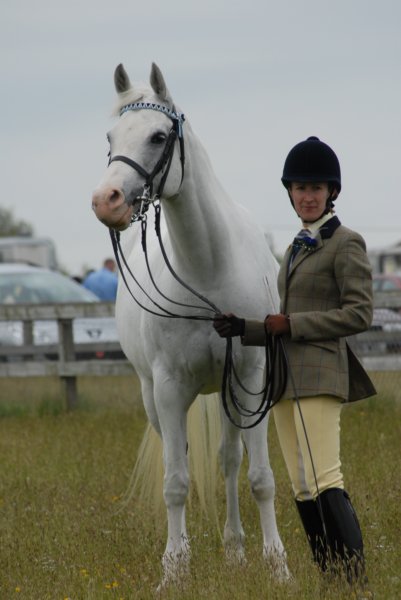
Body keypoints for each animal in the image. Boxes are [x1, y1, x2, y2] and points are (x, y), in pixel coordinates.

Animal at [92, 63, 288, 584]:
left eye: (158, 136)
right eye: (110, 137)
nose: (106, 201)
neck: (208, 271)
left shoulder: (251, 379)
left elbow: (259, 476)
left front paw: (276, 564)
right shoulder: (167, 387)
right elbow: (176, 482)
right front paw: (174, 569)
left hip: (228, 392)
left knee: (229, 461)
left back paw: (236, 547)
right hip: (154, 399)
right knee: (179, 459)